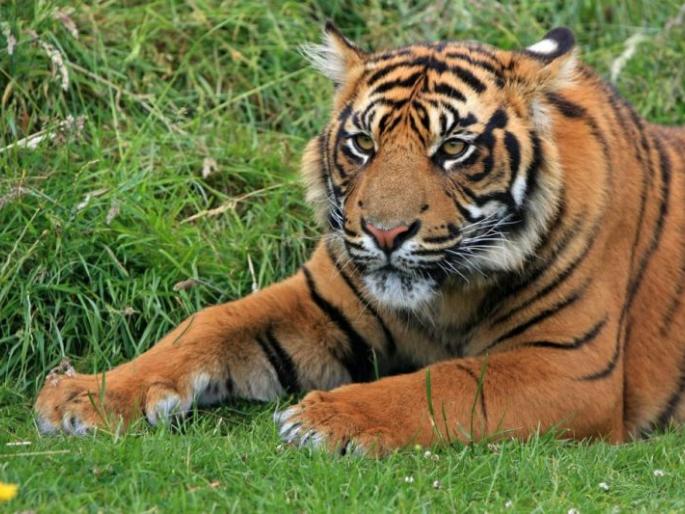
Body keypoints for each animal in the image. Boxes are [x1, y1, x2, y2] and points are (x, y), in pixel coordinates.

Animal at [34, 23, 685, 456]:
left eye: (453, 148)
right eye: (363, 144)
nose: (385, 232)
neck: (446, 296)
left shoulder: (571, 366)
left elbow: (447, 382)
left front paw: (327, 418)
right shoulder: (318, 300)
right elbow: (206, 324)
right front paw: (83, 396)